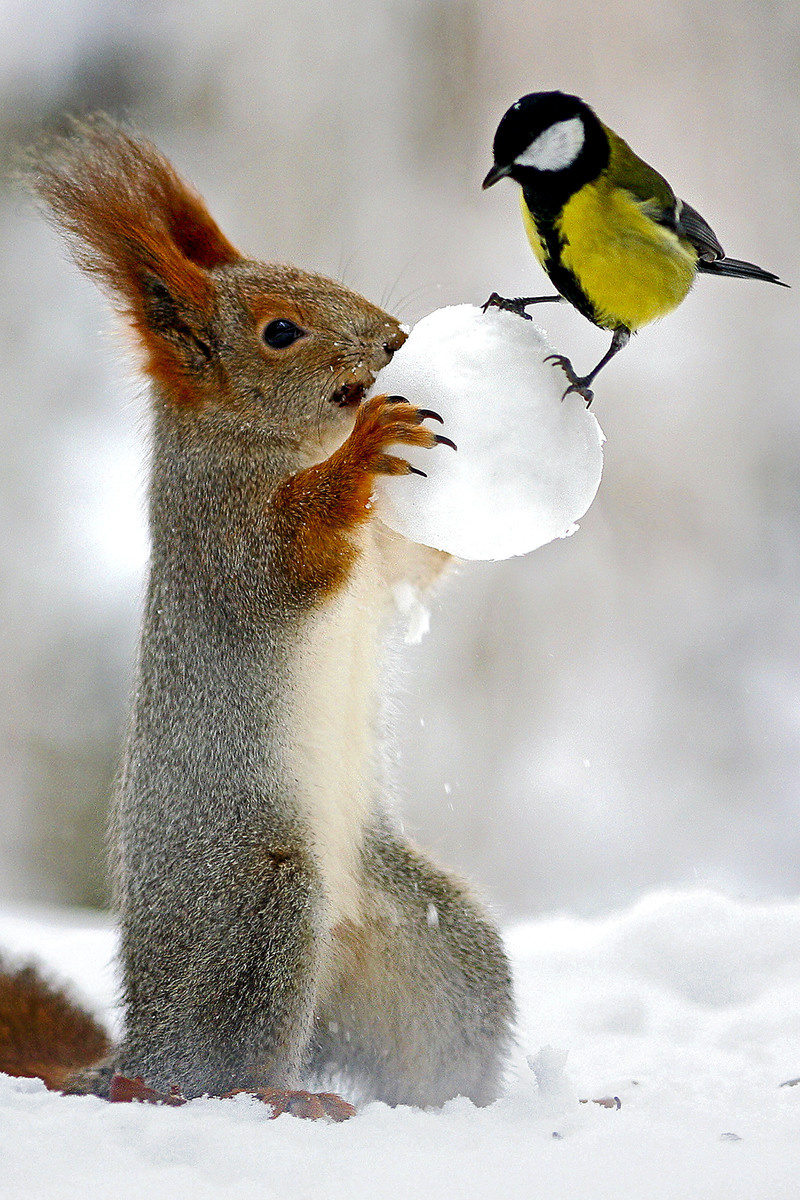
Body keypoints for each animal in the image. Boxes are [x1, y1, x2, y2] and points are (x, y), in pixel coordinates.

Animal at [0, 117, 513, 1108]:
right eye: (281, 332)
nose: (395, 340)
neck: (274, 441)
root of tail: (142, 1047)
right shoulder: (223, 538)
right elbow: (286, 560)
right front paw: (365, 451)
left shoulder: (386, 558)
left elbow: (420, 564)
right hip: (259, 908)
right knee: (222, 1075)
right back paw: (284, 1098)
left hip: (432, 942)